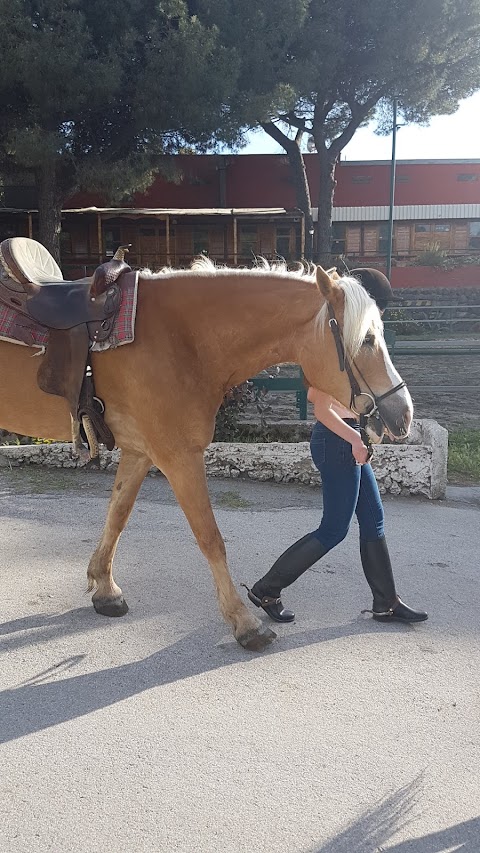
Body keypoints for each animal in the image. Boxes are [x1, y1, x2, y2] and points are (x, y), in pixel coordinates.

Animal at [0, 260, 412, 652]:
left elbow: (117, 515)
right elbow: (210, 537)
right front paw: (245, 623)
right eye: (367, 339)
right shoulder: (179, 455)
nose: (403, 414)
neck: (180, 338)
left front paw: (105, 589)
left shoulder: (139, 451)